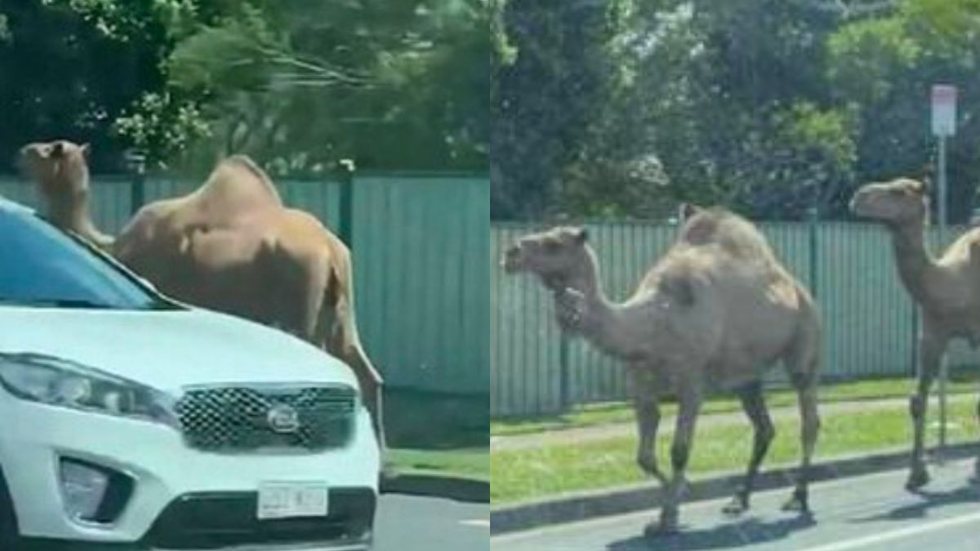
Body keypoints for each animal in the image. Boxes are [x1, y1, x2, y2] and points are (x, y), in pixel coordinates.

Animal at [18, 140, 386, 450]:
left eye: (49, 149)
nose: (22, 151)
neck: (115, 246)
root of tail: (330, 250)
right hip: (341, 306)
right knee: (362, 367)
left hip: (301, 303)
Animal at [502, 206, 824, 536]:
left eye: (554, 244)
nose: (510, 253)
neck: (653, 323)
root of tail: (797, 287)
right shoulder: (640, 386)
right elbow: (644, 457)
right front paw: (671, 505)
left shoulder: (692, 383)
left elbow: (679, 450)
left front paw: (670, 514)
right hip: (747, 377)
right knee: (764, 428)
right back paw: (739, 500)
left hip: (805, 340)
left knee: (808, 418)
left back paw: (798, 497)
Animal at [848, 178, 980, 492]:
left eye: (899, 191)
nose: (858, 196)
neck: (955, 283)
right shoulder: (932, 333)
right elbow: (917, 400)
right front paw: (916, 475)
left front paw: (977, 469)